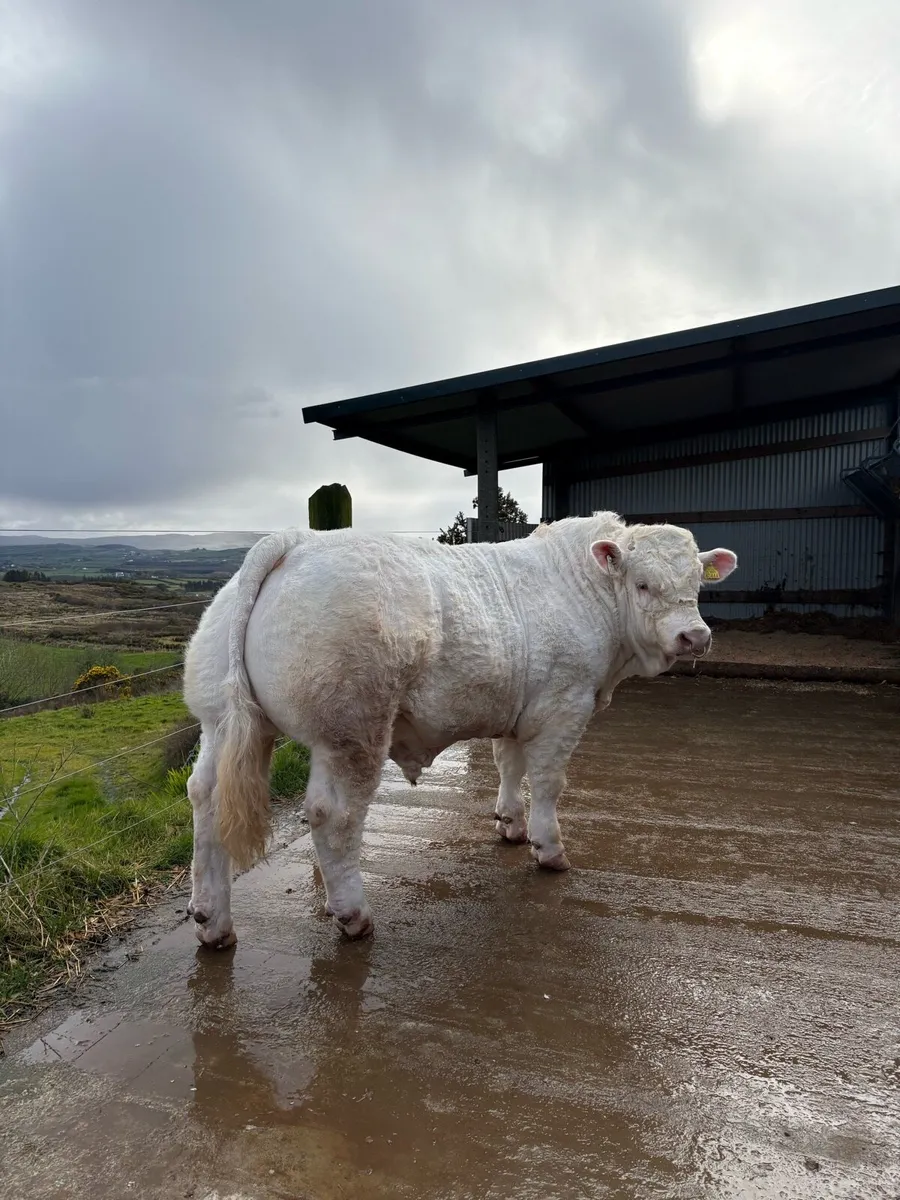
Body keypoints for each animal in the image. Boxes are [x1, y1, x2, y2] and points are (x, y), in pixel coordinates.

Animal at [182, 512, 737, 949]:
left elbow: (508, 765)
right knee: (333, 815)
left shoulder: (517, 707)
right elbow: (549, 782)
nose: (695, 636)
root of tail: (295, 540)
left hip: (219, 719)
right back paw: (353, 915)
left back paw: (212, 921)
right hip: (351, 727)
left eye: (698, 583)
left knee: (205, 796)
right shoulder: (563, 705)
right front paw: (548, 847)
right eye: (643, 584)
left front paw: (510, 823)